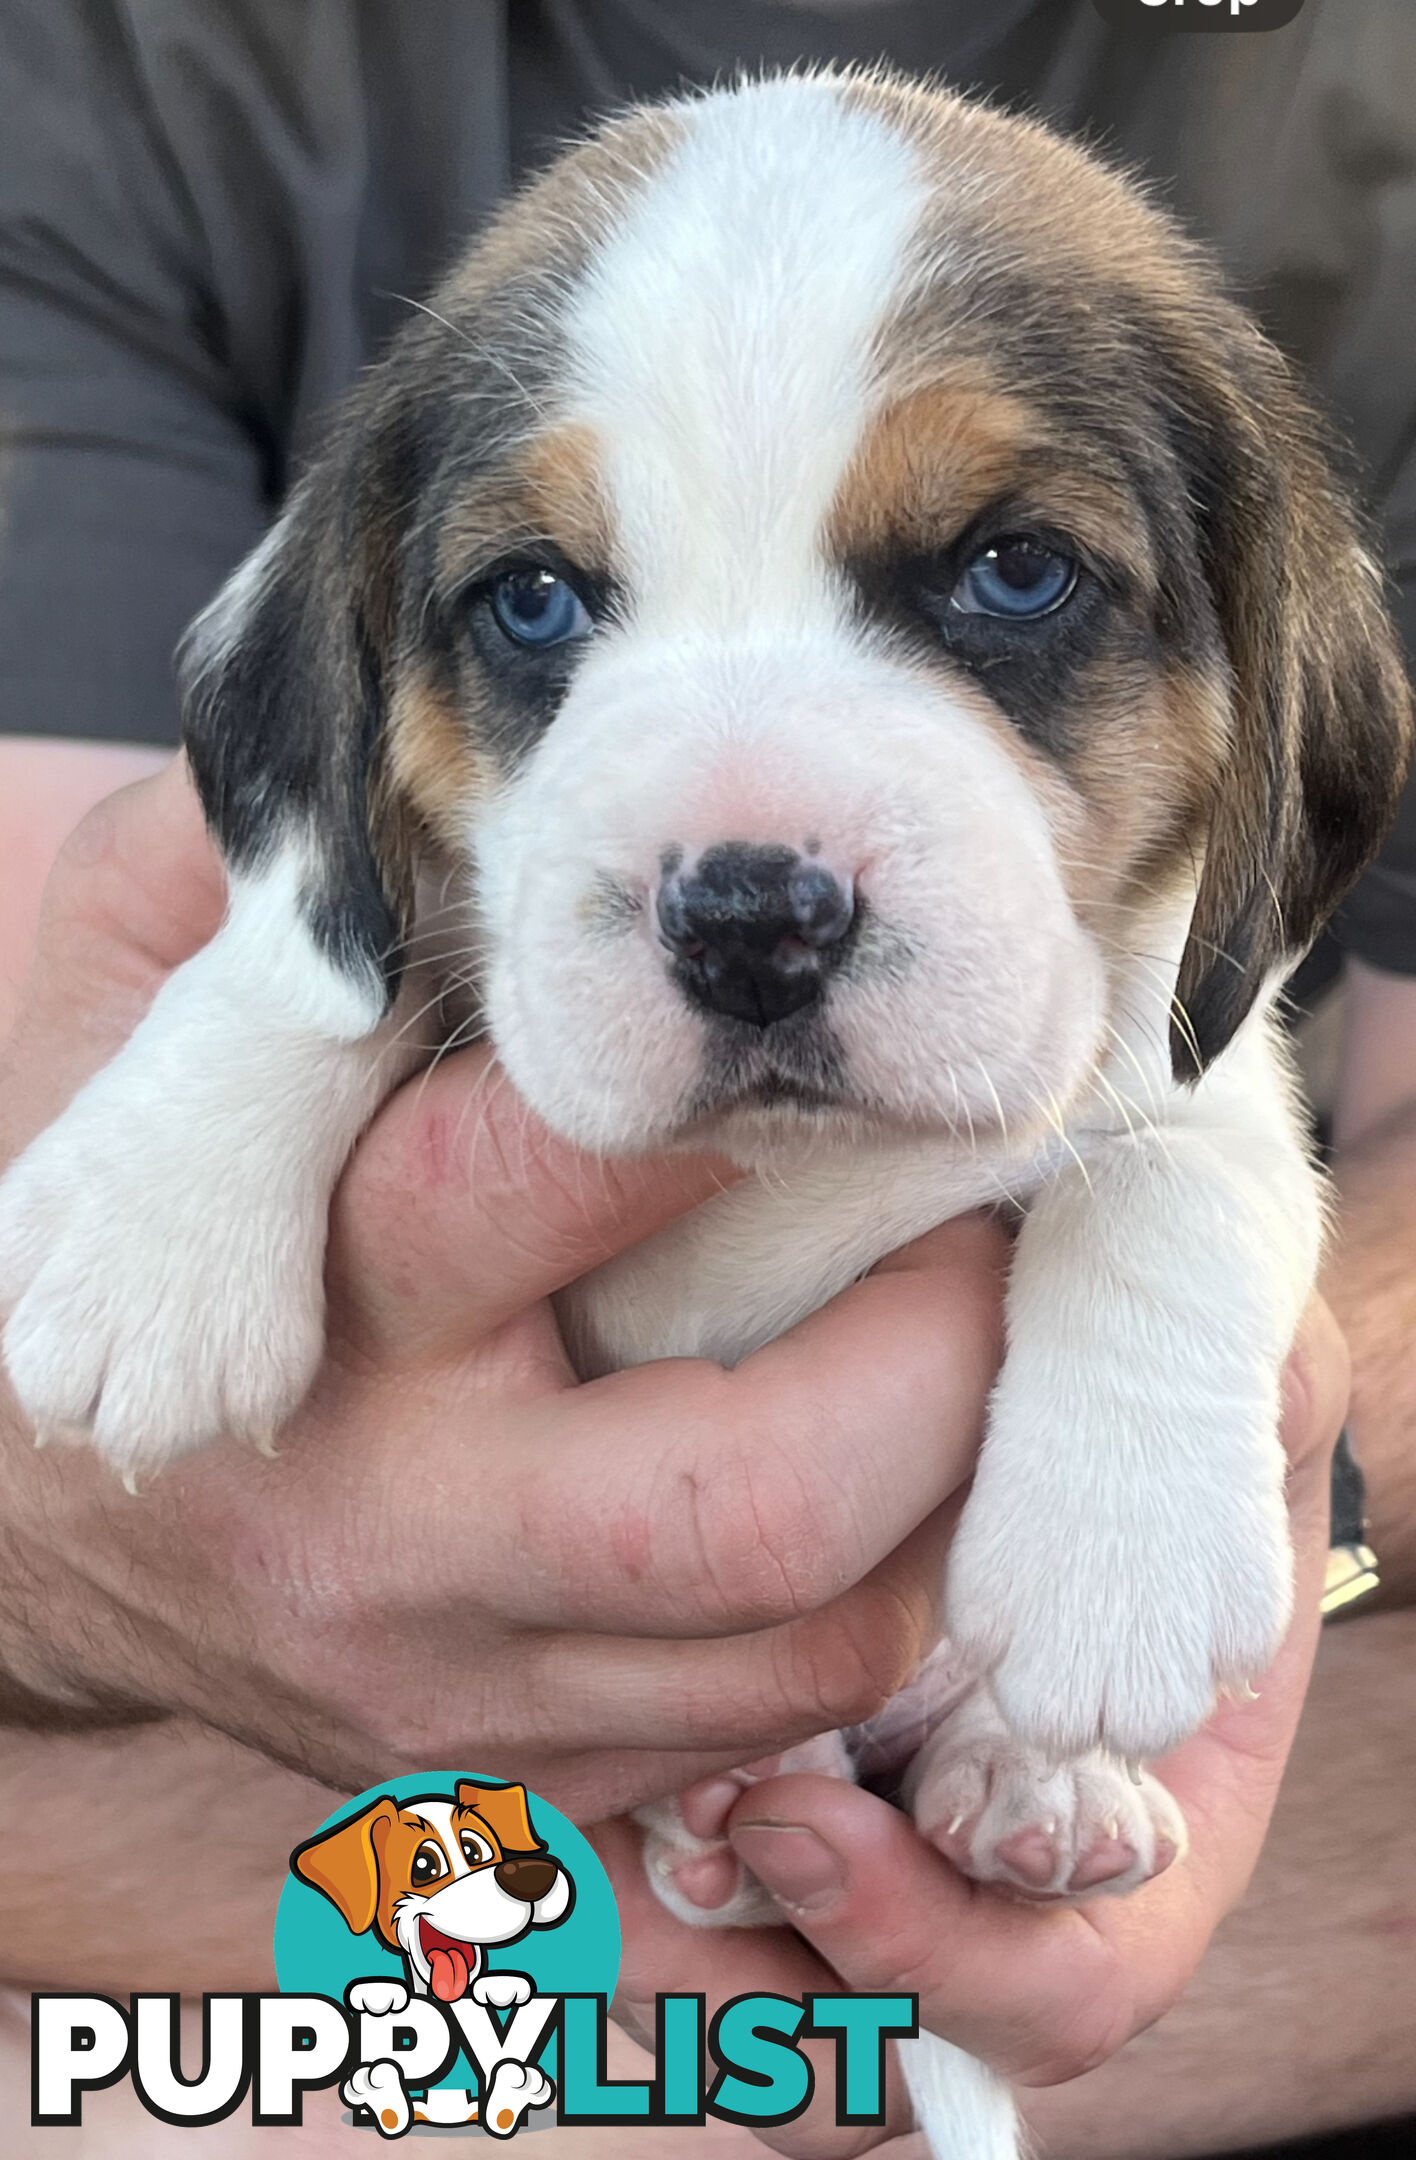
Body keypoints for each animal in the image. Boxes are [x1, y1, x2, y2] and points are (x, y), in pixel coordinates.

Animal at [2, 67, 1416, 2160]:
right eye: (532, 601)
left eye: (1013, 571)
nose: (753, 915)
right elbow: (306, 949)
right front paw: (145, 1230)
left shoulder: (1208, 1042)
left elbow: (1170, 1181)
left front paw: (1115, 1556)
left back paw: (1028, 1788)